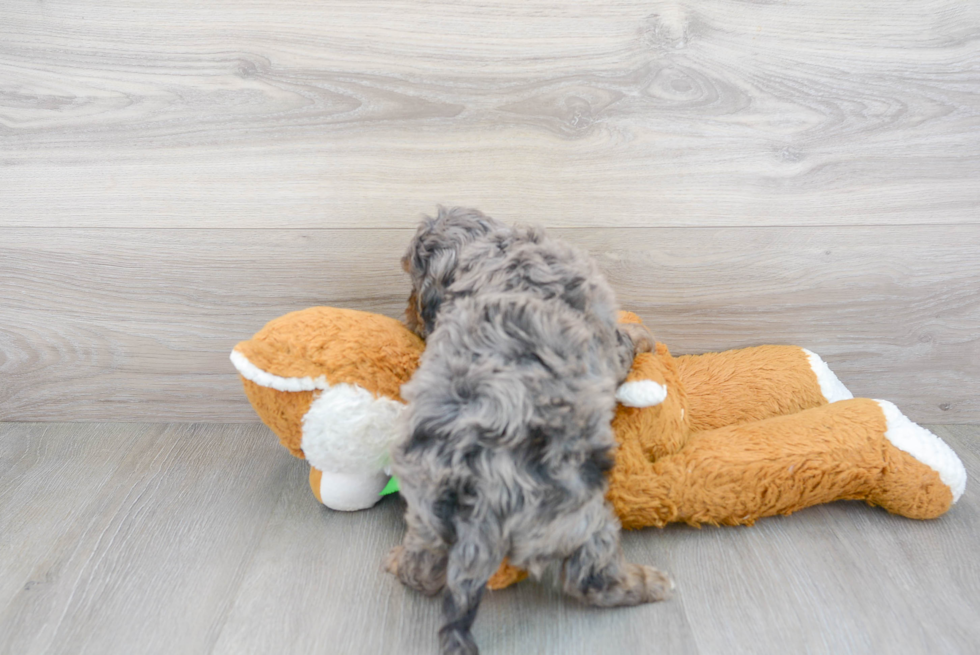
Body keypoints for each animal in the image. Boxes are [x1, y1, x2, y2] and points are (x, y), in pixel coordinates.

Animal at [386, 206, 668, 655]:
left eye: (411, 278)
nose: (409, 314)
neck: (494, 249)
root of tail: (480, 495)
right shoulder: (606, 338)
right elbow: (625, 341)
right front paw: (644, 336)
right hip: (577, 516)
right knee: (591, 577)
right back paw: (646, 583)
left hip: (426, 511)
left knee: (424, 568)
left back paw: (401, 563)